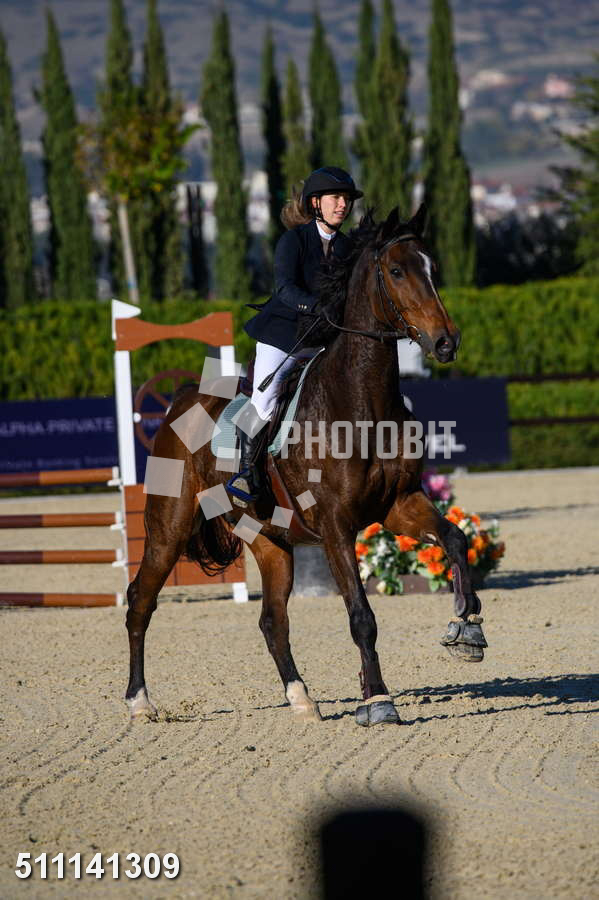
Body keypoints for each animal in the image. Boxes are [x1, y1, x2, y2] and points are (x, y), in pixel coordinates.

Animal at [125, 204, 488, 727]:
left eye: (432, 269)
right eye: (397, 271)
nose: (445, 343)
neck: (362, 402)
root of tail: (180, 403)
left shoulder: (399, 505)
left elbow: (456, 539)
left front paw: (467, 627)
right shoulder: (336, 526)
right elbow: (361, 616)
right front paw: (378, 700)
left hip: (269, 539)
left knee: (272, 620)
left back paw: (301, 698)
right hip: (168, 530)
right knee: (141, 601)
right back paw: (140, 702)